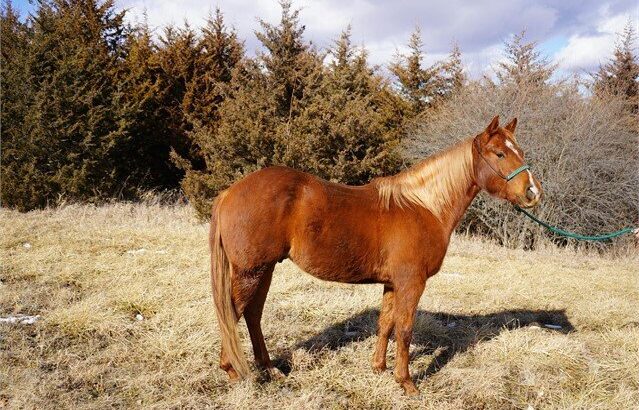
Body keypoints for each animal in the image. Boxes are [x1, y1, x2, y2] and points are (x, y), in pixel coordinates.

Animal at [212, 114, 544, 394]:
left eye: (520, 151)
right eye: (499, 154)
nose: (533, 193)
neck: (423, 206)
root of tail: (229, 192)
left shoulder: (392, 283)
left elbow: (386, 324)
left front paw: (379, 368)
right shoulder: (412, 283)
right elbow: (405, 329)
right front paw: (406, 383)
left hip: (264, 270)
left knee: (253, 315)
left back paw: (269, 369)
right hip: (250, 271)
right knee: (232, 314)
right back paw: (233, 370)